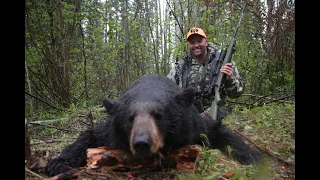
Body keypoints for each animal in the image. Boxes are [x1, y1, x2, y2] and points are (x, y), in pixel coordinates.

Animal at [47, 74, 262, 176]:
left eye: (159, 115)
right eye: (130, 117)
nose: (142, 142)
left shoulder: (193, 126)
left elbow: (218, 131)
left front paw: (253, 155)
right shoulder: (110, 132)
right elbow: (90, 135)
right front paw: (58, 162)